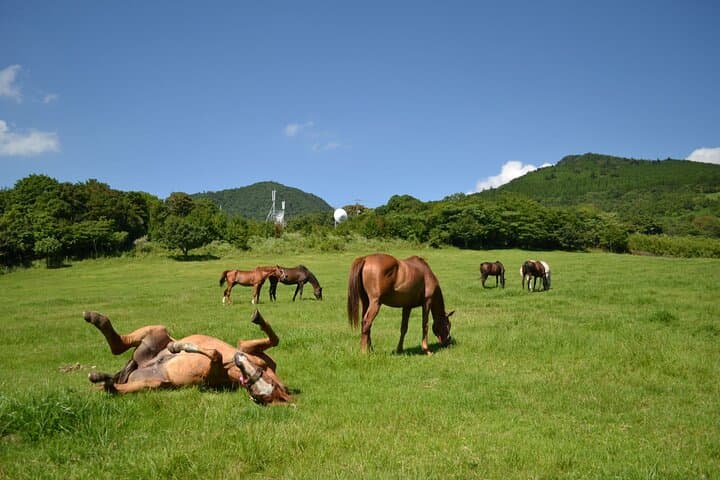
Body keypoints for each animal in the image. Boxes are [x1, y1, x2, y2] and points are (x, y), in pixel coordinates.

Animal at [83, 309, 292, 405]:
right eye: (263, 375)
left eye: (257, 396)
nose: (239, 362)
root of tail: (141, 364)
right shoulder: (245, 348)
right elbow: (274, 339)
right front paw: (258, 318)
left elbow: (215, 354)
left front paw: (179, 347)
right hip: (157, 331)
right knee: (119, 345)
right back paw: (95, 318)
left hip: (153, 383)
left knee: (114, 382)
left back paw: (102, 380)